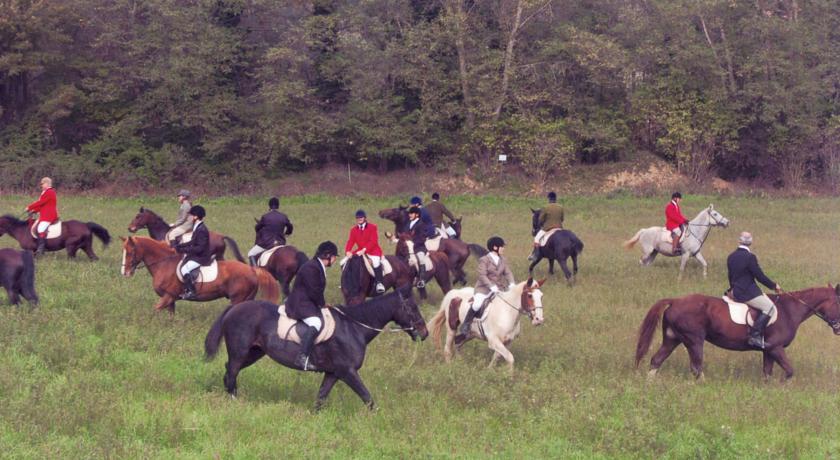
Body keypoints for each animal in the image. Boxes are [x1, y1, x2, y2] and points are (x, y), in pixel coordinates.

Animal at [120, 237, 280, 312]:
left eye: (130, 252)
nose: (125, 273)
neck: (164, 263)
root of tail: (252, 269)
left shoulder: (168, 296)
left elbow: (155, 310)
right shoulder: (171, 300)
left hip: (238, 299)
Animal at [203, 284, 426, 410]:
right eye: (412, 307)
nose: (424, 333)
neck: (354, 327)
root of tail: (235, 308)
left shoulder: (333, 373)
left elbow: (320, 399)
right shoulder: (348, 372)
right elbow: (368, 398)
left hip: (254, 353)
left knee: (229, 371)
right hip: (240, 352)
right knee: (232, 372)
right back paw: (233, 401)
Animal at [636, 286, 840, 382]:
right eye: (839, 302)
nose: (838, 328)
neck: (789, 310)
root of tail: (675, 301)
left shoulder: (769, 351)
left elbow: (767, 374)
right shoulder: (776, 348)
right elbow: (789, 371)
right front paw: (783, 387)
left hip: (672, 339)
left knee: (656, 360)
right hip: (694, 340)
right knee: (696, 367)